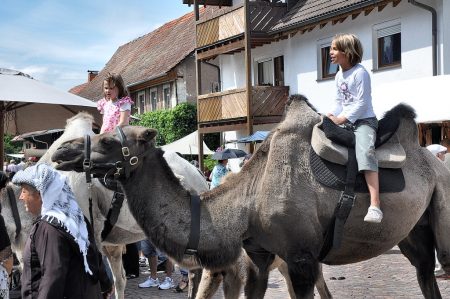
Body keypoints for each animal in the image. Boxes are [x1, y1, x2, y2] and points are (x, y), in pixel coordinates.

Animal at [51, 95, 450, 298]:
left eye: (107, 140)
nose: (60, 153)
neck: (247, 200)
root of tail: (434, 162)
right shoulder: (258, 257)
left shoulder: (301, 260)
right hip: (413, 232)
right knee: (424, 272)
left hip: (442, 206)